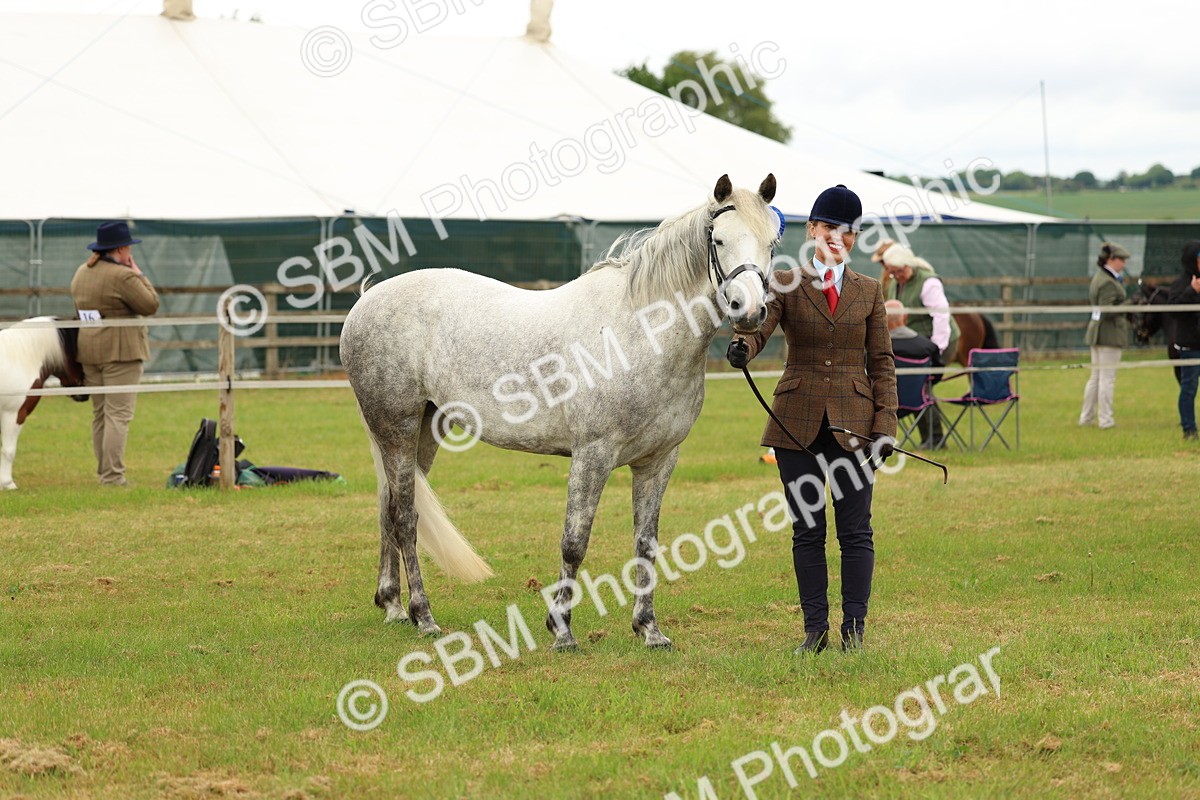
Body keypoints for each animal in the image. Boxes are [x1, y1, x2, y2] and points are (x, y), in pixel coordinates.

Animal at [0, 317, 88, 490]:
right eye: (78, 355)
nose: (85, 395)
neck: (21, 359)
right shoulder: (14, 414)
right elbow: (9, 450)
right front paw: (8, 483)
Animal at [340, 174, 778, 650]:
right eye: (719, 240)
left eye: (772, 243)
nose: (749, 312)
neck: (637, 332)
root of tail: (366, 300)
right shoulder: (592, 454)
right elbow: (574, 542)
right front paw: (562, 629)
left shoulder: (658, 461)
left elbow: (646, 544)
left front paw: (649, 629)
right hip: (397, 427)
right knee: (405, 516)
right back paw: (423, 616)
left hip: (424, 429)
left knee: (388, 509)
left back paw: (393, 606)